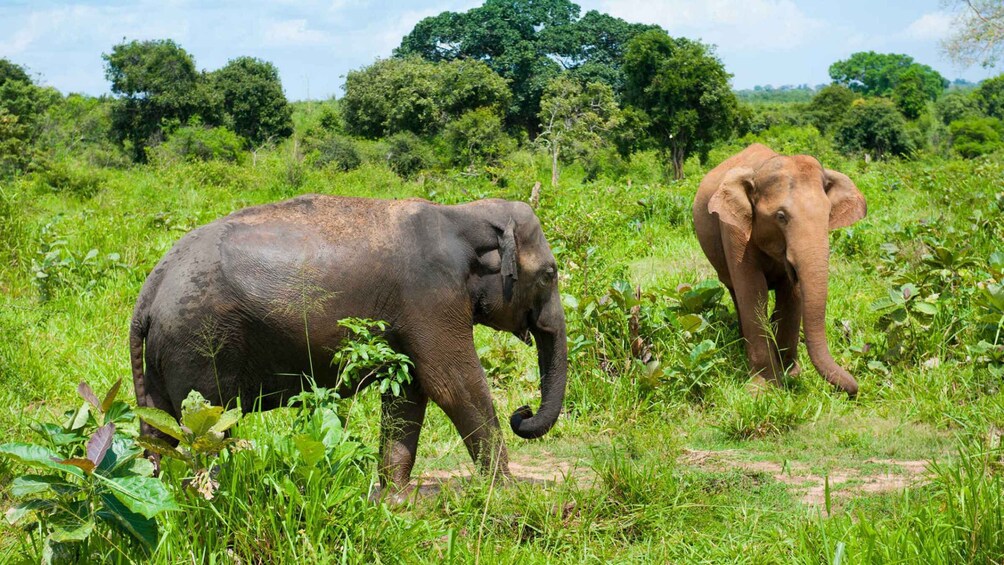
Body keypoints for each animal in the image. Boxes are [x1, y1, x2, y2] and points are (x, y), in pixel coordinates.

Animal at [130, 194, 570, 491]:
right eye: (549, 274)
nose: (522, 413)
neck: (464, 212)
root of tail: (151, 288)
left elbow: (410, 390)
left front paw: (395, 497)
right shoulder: (431, 295)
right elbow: (452, 384)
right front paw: (505, 491)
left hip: (165, 356)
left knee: (159, 429)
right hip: (200, 343)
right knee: (208, 429)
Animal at [694, 143, 867, 395]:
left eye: (828, 215)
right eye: (781, 216)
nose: (853, 390)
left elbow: (791, 294)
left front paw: (790, 375)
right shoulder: (733, 229)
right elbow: (753, 292)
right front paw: (764, 388)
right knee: (735, 292)